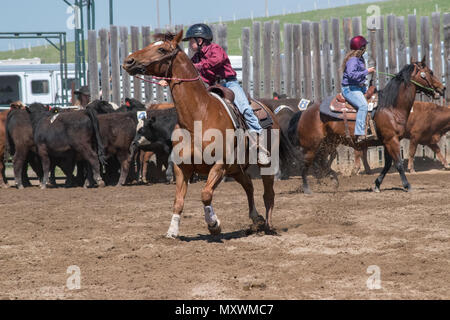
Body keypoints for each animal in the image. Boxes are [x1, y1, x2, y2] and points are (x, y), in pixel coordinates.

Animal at [122, 31, 284, 238]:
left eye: (162, 49)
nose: (129, 61)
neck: (199, 116)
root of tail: (268, 109)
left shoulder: (219, 165)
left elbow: (205, 194)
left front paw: (214, 224)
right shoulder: (182, 168)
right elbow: (178, 201)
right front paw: (172, 230)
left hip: (265, 164)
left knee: (268, 193)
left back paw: (268, 225)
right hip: (236, 168)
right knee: (248, 185)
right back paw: (256, 219)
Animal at [294, 57, 444, 192]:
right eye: (430, 72)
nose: (443, 88)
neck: (390, 107)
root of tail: (306, 111)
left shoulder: (387, 141)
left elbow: (387, 164)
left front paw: (377, 185)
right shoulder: (392, 140)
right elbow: (399, 163)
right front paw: (407, 185)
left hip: (328, 143)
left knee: (320, 162)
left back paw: (333, 180)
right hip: (312, 145)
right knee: (307, 163)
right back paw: (307, 188)